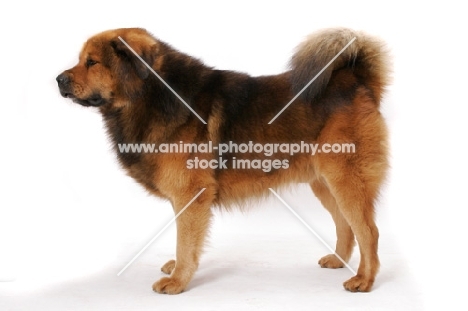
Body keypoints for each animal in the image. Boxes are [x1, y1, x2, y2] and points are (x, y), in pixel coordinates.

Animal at [56, 27, 390, 294]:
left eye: (92, 62)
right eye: (82, 60)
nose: (58, 79)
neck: (154, 94)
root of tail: (356, 80)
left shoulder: (191, 196)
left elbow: (185, 242)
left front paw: (178, 281)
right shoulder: (186, 200)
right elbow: (185, 242)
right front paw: (178, 271)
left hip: (345, 180)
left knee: (369, 232)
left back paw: (364, 279)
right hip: (326, 183)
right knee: (346, 227)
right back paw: (339, 261)